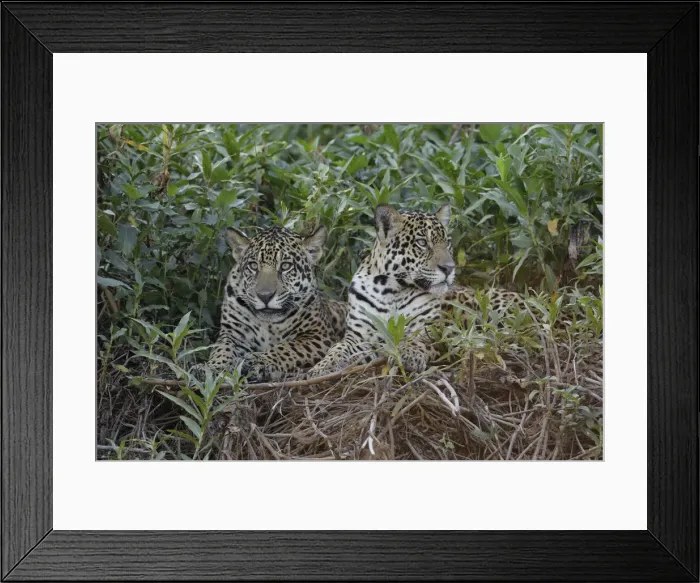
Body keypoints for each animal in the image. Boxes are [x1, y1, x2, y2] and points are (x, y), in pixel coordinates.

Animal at [193, 224, 347, 382]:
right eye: (253, 266)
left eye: (285, 266)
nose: (265, 296)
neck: (267, 325)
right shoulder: (233, 333)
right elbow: (222, 350)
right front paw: (210, 369)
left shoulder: (318, 335)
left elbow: (288, 347)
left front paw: (257, 361)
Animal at [307, 203, 521, 377]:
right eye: (422, 243)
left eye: (447, 243)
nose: (449, 268)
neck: (390, 290)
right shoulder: (359, 336)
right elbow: (338, 348)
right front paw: (321, 367)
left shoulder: (433, 329)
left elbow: (418, 340)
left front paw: (408, 354)